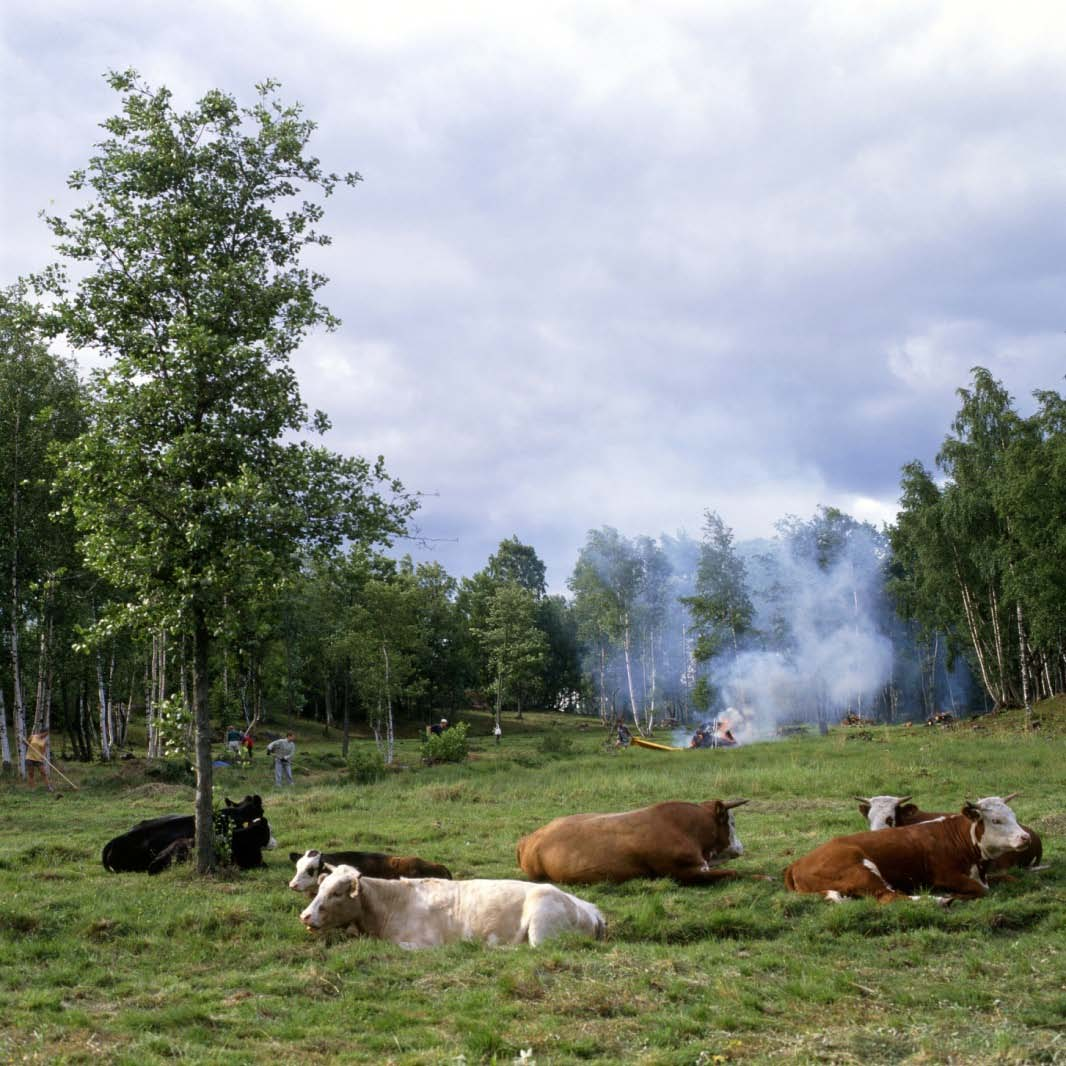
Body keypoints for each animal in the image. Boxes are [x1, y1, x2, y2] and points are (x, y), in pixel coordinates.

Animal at [300, 865, 609, 950]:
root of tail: (588, 908)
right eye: (320, 889)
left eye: (337, 892)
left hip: (541, 926)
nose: (305, 915)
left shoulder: (425, 945)